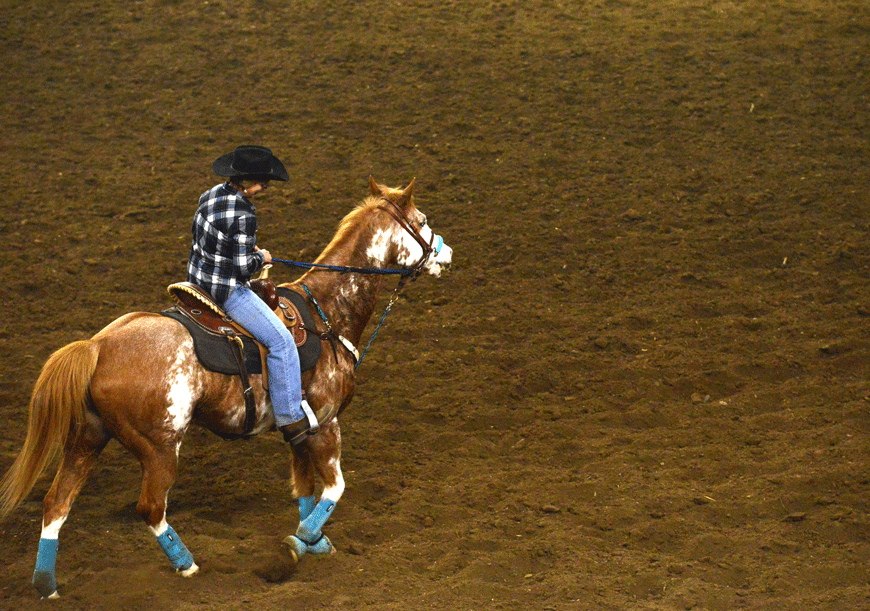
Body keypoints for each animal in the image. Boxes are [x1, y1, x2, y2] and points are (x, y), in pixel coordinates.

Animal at [1, 176, 456, 596]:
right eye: (422, 220)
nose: (447, 254)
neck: (327, 314)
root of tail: (98, 346)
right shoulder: (325, 423)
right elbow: (334, 489)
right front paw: (299, 543)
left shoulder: (298, 429)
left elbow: (305, 489)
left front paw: (315, 541)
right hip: (159, 448)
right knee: (150, 508)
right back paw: (186, 565)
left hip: (87, 438)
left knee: (56, 503)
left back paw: (46, 584)